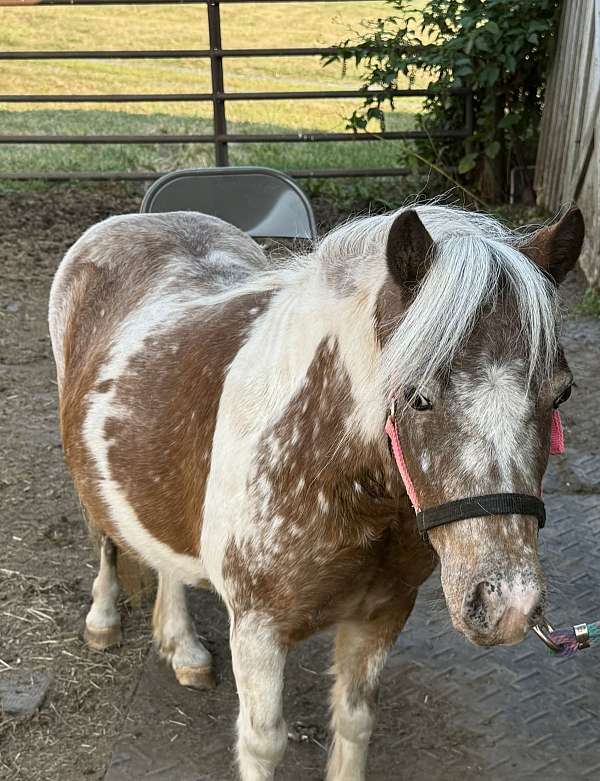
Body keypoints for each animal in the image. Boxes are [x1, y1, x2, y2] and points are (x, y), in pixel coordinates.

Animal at [48, 203, 583, 780]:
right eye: (416, 396)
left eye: (561, 393)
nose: (507, 604)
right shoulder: (257, 632)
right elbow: (263, 743)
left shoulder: (380, 615)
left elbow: (354, 721)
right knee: (107, 536)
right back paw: (103, 621)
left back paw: (184, 649)